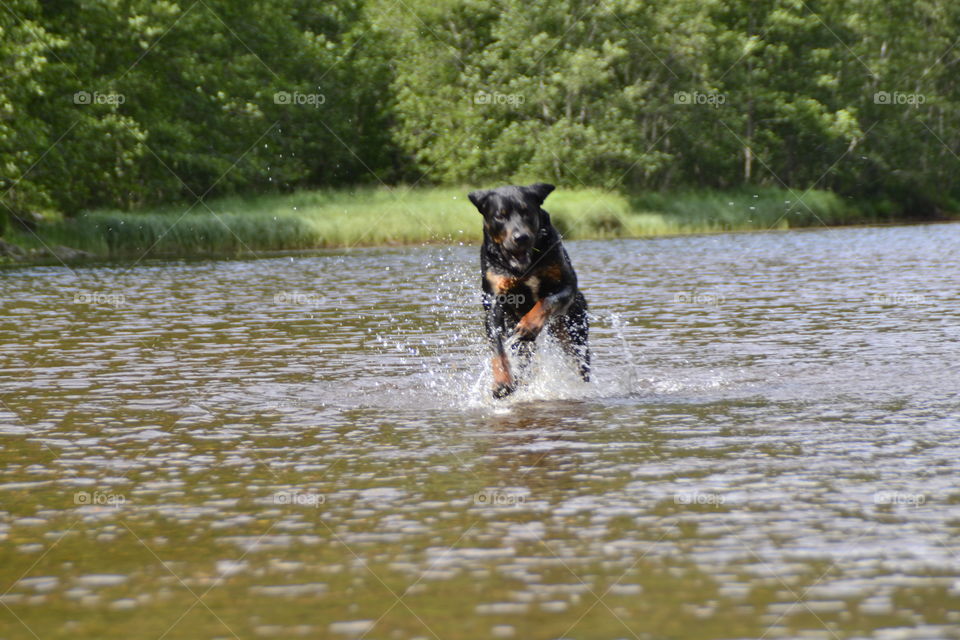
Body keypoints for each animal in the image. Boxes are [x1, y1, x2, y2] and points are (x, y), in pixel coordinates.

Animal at [468, 182, 588, 398]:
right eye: (500, 216)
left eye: (527, 212)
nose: (521, 237)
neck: (524, 265)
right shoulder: (493, 302)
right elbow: (498, 349)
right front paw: (502, 382)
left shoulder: (568, 286)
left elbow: (547, 300)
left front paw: (529, 324)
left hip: (573, 333)